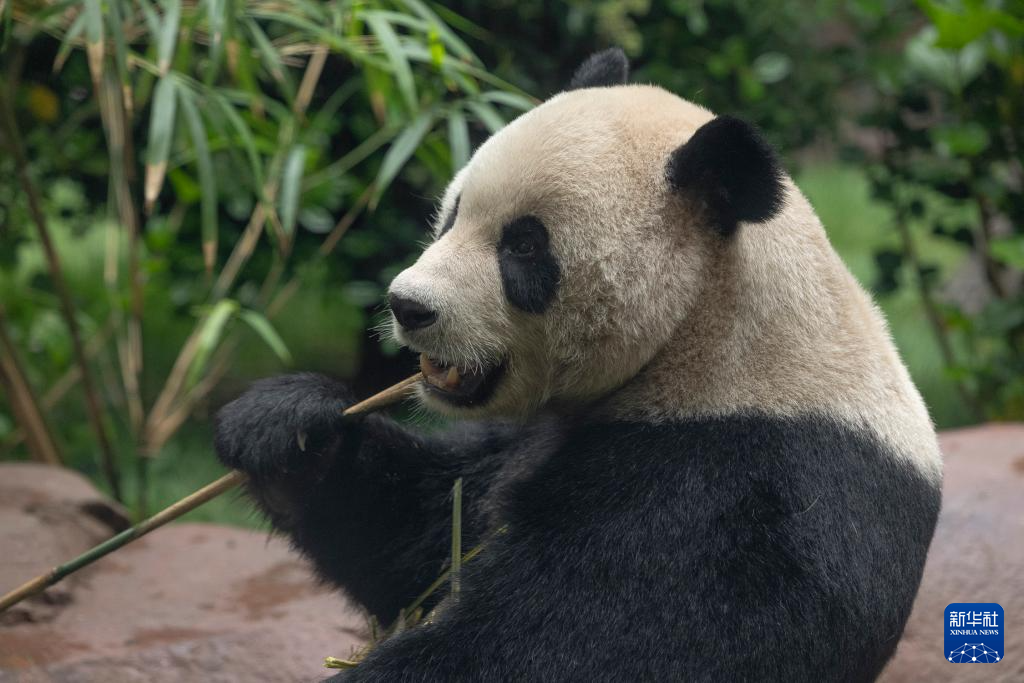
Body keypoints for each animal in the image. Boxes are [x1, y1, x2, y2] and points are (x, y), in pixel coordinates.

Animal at [216, 49, 942, 683]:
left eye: (524, 246)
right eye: (453, 213)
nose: (408, 305)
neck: (706, 337)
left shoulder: (732, 489)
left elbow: (557, 642)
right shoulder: (530, 438)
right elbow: (419, 534)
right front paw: (285, 426)